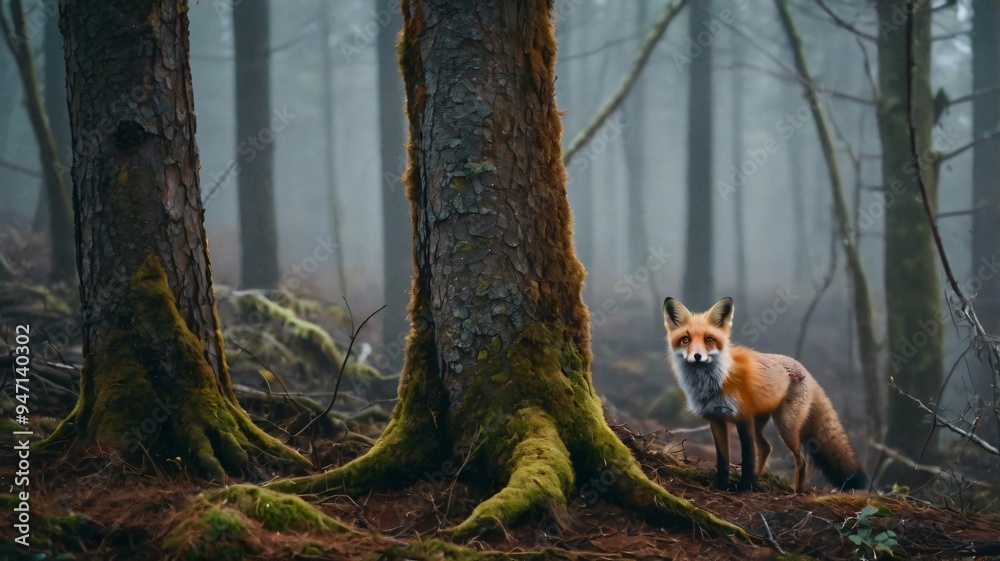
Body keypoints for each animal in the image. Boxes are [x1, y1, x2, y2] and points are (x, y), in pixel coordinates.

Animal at [662, 296, 868, 493]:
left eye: (709, 339)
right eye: (685, 340)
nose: (697, 357)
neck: (713, 383)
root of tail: (806, 371)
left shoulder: (742, 416)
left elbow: (747, 455)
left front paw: (746, 487)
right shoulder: (716, 419)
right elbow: (722, 459)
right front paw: (721, 485)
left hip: (785, 426)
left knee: (801, 460)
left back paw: (797, 492)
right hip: (760, 423)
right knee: (766, 448)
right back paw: (760, 477)